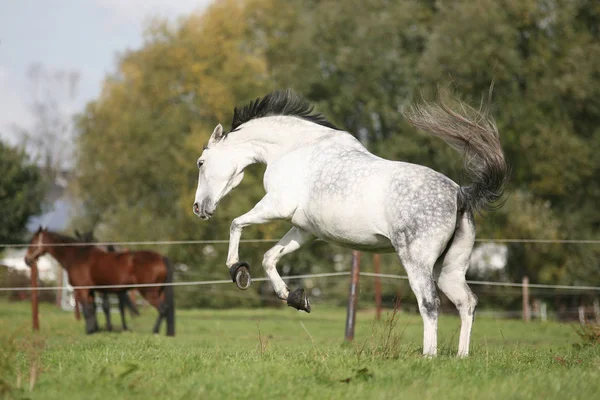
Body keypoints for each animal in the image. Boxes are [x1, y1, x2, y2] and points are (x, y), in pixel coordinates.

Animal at [24, 227, 175, 336]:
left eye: (32, 241)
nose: (27, 259)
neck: (77, 256)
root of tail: (161, 258)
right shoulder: (91, 291)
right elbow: (92, 309)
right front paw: (93, 329)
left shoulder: (82, 290)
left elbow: (87, 310)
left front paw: (89, 331)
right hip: (159, 292)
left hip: (149, 292)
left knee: (162, 309)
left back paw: (155, 332)